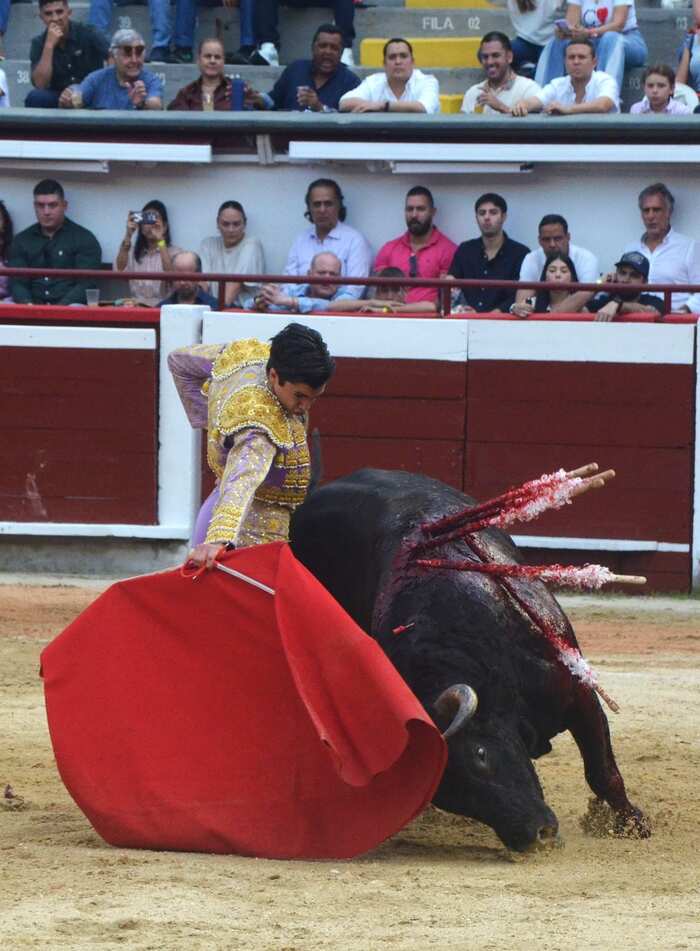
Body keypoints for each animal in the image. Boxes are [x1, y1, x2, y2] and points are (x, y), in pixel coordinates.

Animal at [290, 468, 650, 852]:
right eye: (448, 794)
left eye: (480, 755)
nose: (536, 836)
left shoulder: (577, 692)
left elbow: (602, 772)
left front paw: (632, 825)